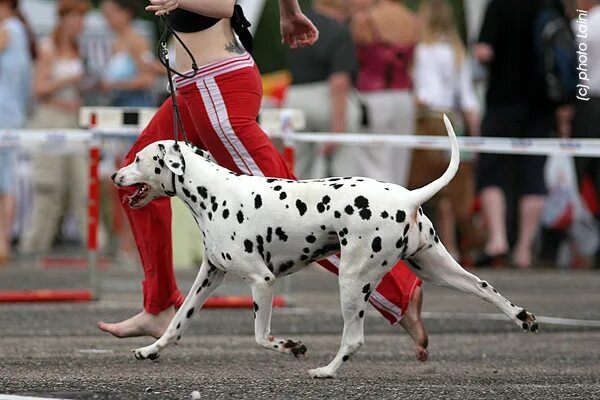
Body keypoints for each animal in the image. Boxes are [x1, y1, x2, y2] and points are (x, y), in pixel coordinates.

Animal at [112, 115, 540, 378]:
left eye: (139, 158)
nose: (115, 174)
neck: (213, 192)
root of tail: (408, 197)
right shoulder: (209, 278)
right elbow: (177, 323)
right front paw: (151, 350)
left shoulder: (262, 281)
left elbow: (261, 336)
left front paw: (292, 346)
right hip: (440, 270)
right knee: (488, 290)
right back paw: (524, 318)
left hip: (352, 281)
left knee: (353, 338)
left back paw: (326, 371)